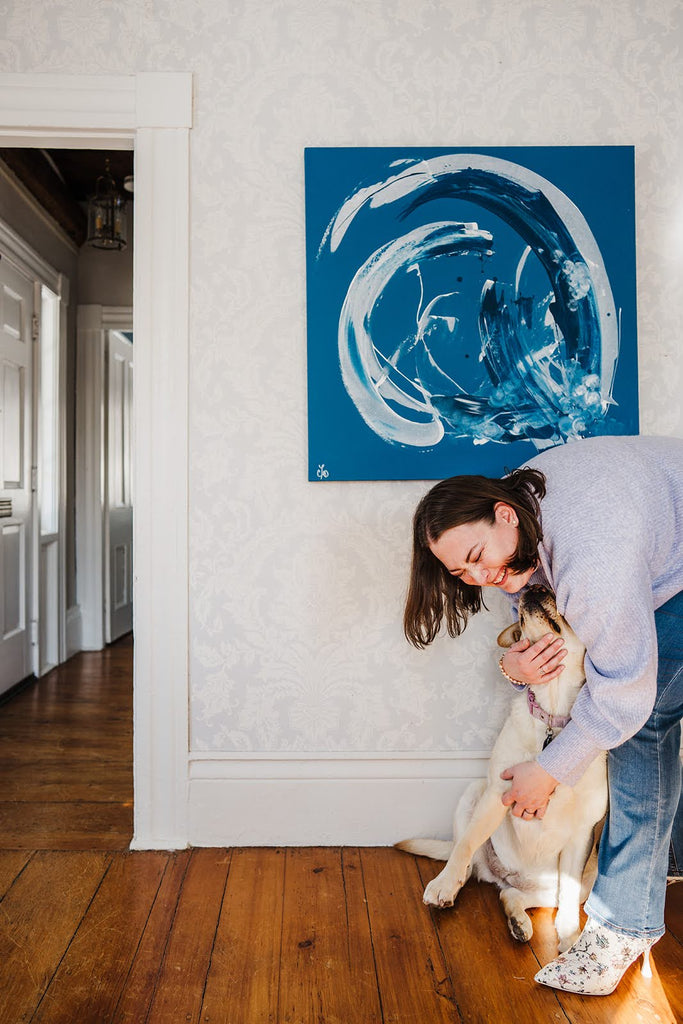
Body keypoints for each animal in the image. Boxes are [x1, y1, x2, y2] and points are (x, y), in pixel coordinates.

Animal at [397, 585, 606, 950]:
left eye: (556, 593)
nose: (534, 587)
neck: (551, 717)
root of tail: (507, 875)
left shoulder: (583, 830)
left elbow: (566, 897)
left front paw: (568, 937)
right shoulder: (498, 791)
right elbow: (467, 842)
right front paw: (443, 884)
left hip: (582, 883)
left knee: (516, 895)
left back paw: (519, 921)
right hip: (473, 794)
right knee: (467, 858)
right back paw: (458, 886)